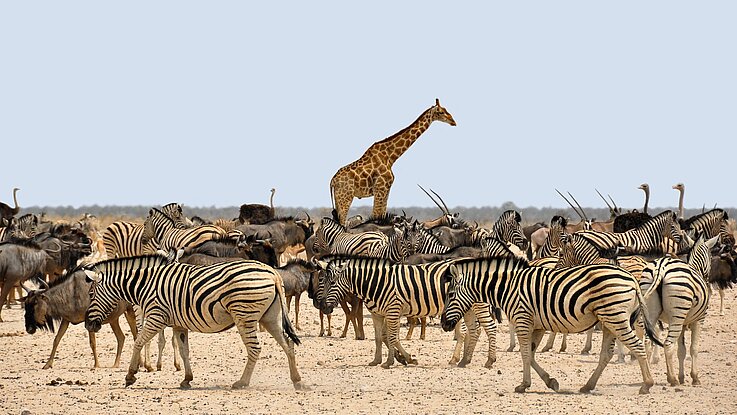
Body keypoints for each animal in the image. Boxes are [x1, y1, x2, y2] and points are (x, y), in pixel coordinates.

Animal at [83, 255, 304, 390]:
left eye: (91, 294)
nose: (88, 325)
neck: (146, 284)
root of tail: (272, 272)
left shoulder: (156, 317)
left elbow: (138, 342)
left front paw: (130, 375)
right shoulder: (179, 324)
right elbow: (184, 351)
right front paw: (186, 379)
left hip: (244, 315)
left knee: (255, 349)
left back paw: (242, 382)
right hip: (270, 317)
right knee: (288, 344)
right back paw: (297, 381)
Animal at [319, 256, 498, 369]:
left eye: (332, 282)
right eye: (323, 281)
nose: (324, 307)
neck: (375, 282)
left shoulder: (393, 311)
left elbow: (392, 337)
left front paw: (391, 361)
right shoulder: (378, 314)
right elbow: (380, 338)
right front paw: (379, 360)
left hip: (478, 305)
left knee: (489, 328)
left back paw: (488, 360)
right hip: (466, 308)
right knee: (474, 331)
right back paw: (463, 360)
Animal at [440, 256, 662, 394]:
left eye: (450, 294)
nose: (443, 324)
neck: (508, 287)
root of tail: (632, 278)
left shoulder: (522, 319)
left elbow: (525, 354)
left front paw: (523, 384)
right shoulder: (537, 325)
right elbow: (531, 355)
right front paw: (550, 382)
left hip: (615, 317)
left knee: (638, 346)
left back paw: (647, 385)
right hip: (608, 320)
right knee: (606, 354)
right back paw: (587, 386)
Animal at [639, 234, 719, 386]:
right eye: (711, 256)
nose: (708, 279)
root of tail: (661, 267)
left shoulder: (682, 323)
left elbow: (681, 351)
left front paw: (682, 377)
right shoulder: (699, 320)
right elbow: (694, 348)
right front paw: (694, 377)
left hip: (652, 312)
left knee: (646, 343)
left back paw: (648, 379)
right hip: (677, 313)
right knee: (668, 345)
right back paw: (672, 379)